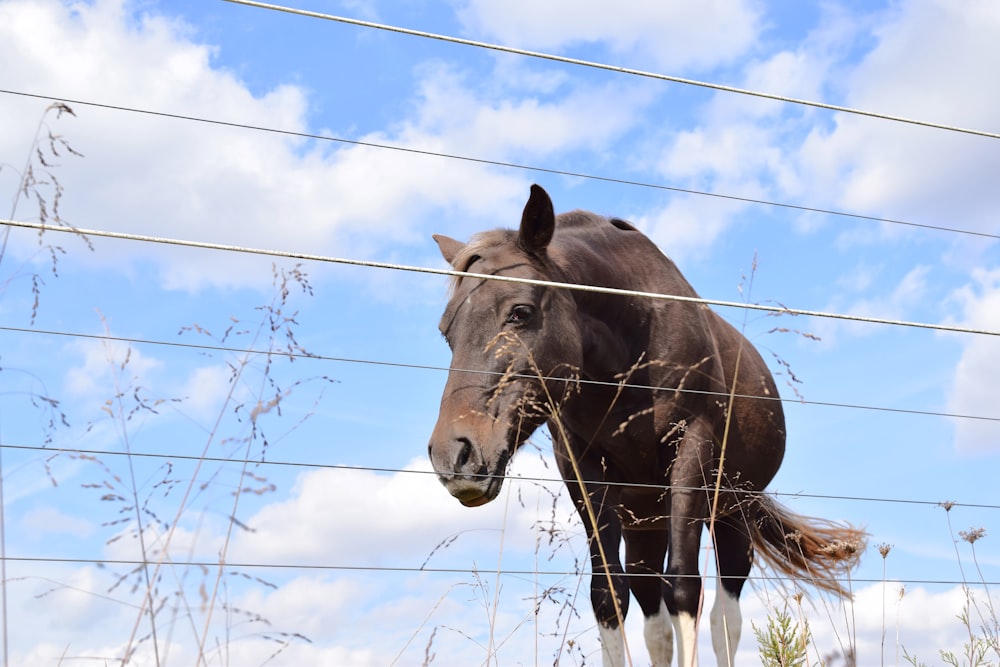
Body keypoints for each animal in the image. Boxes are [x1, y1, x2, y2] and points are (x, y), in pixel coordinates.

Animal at [426, 185, 864, 664]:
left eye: (519, 312)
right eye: (446, 331)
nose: (454, 454)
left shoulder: (691, 453)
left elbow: (685, 589)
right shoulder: (583, 469)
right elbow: (607, 595)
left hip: (731, 513)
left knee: (723, 619)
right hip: (645, 527)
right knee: (656, 622)